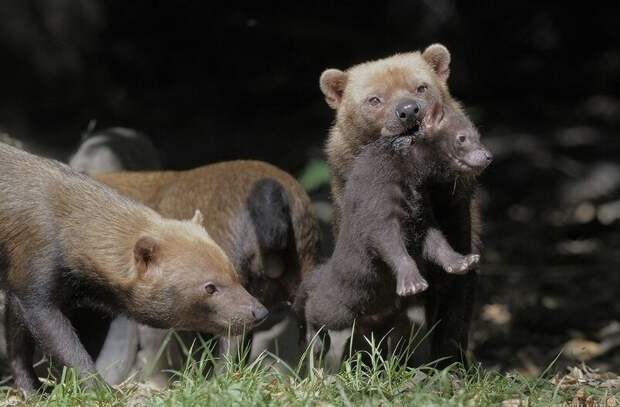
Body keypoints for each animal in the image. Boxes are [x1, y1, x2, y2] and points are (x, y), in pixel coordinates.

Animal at [320, 43, 484, 366]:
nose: (408, 111)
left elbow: (454, 293)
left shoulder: (454, 208)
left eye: (421, 87)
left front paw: (449, 360)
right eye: (374, 99)